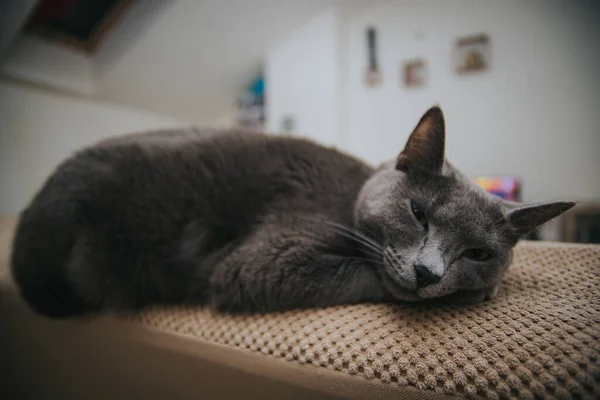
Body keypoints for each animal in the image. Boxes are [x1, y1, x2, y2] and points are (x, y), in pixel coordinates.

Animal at [8, 107, 572, 318]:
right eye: (418, 213)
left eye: (478, 253)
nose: (429, 272)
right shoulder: (267, 257)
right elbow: (366, 275)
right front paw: (477, 292)